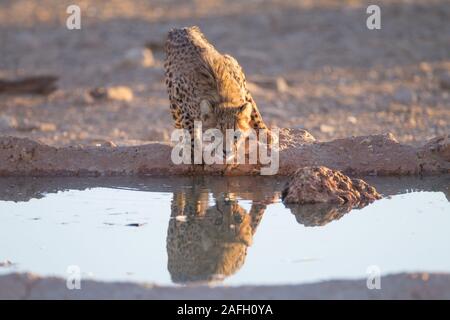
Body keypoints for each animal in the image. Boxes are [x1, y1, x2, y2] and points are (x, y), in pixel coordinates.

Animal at [165, 26, 270, 159]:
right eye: (216, 135)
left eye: (235, 135)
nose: (227, 151)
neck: (223, 97)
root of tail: (181, 28)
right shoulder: (180, 96)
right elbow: (190, 131)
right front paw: (194, 154)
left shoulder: (239, 77)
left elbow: (254, 110)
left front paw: (266, 134)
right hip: (173, 101)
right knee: (178, 124)